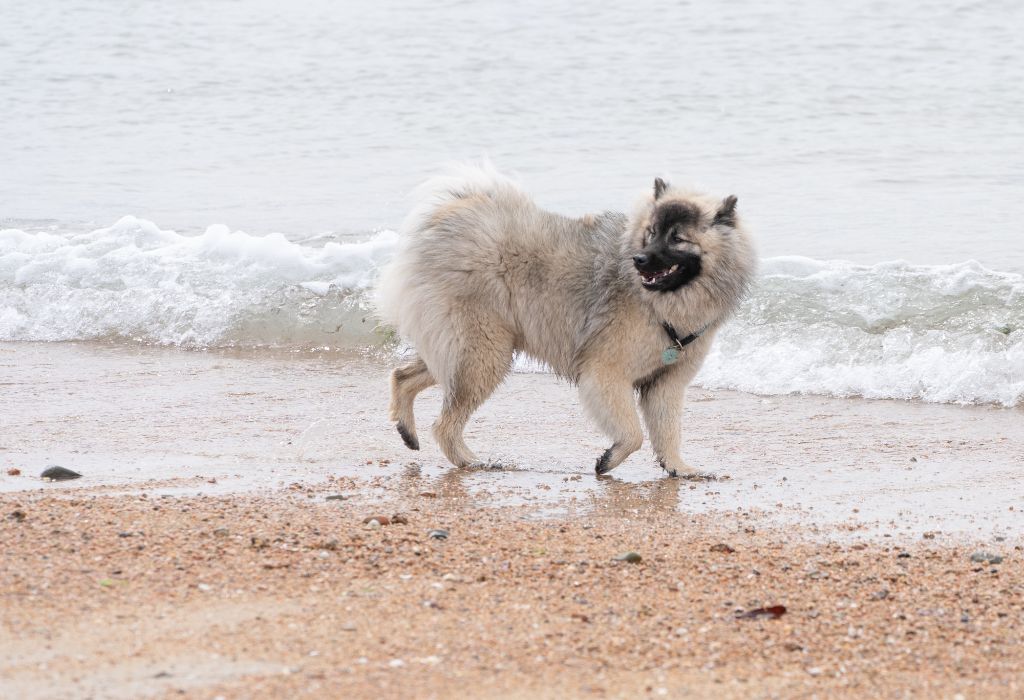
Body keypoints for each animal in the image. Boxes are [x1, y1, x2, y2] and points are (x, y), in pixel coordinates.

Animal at [374, 166, 753, 478]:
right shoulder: (605, 373)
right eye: (650, 232)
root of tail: (446, 220)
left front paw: (678, 467)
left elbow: (667, 432)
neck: (661, 303)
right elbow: (632, 434)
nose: (639, 259)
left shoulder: (666, 384)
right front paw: (609, 459)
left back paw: (407, 430)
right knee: (444, 423)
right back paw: (471, 460)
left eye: (677, 238)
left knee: (403, 376)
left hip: (464, 349)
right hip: (484, 352)